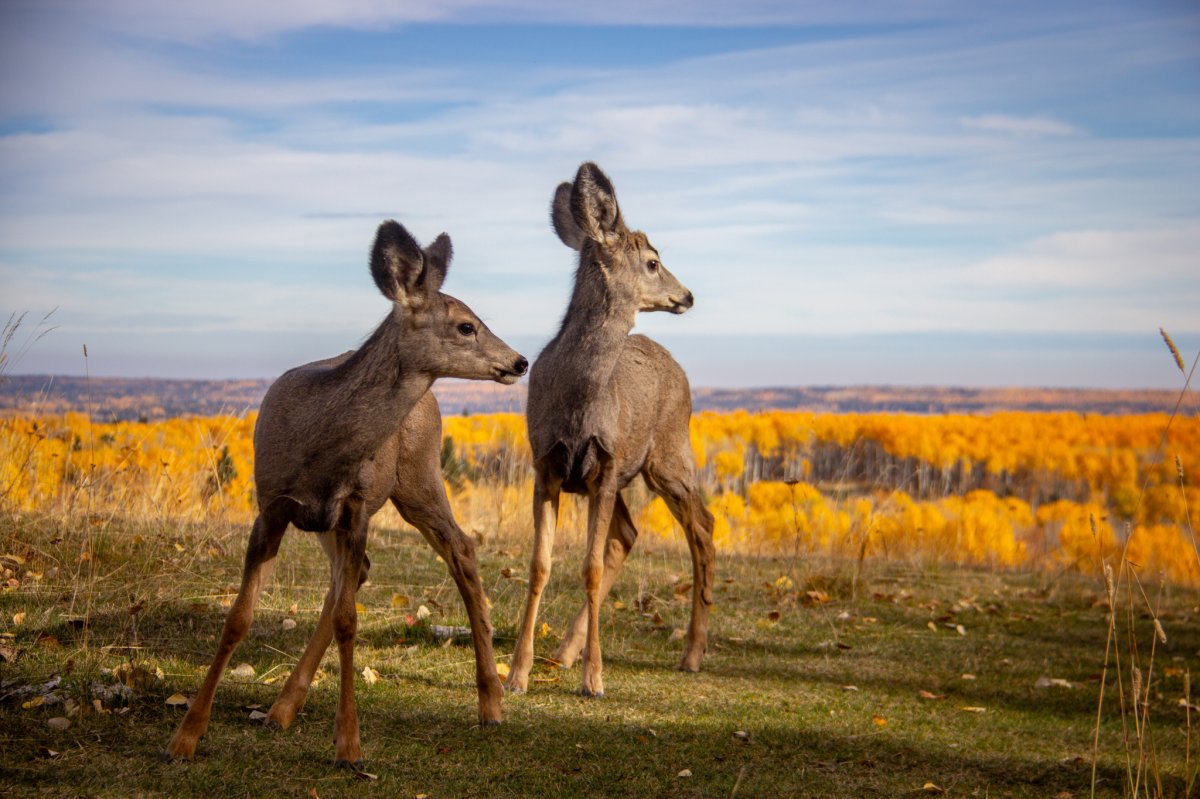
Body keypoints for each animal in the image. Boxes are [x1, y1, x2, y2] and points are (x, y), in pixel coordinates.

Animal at [166, 219, 528, 767]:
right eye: (466, 326)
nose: (521, 361)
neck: (318, 445)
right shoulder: (272, 505)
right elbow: (239, 617)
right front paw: (186, 736)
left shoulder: (357, 506)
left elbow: (348, 621)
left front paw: (350, 744)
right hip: (340, 517)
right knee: (355, 575)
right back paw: (281, 709)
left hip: (417, 477)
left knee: (459, 549)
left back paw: (491, 702)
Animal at [504, 163, 710, 695]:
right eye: (654, 262)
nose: (688, 295)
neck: (578, 401)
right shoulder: (548, 465)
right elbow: (540, 565)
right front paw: (517, 673)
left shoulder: (606, 464)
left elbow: (591, 568)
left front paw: (594, 678)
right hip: (629, 474)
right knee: (630, 533)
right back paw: (564, 652)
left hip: (667, 455)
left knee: (702, 524)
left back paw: (691, 653)